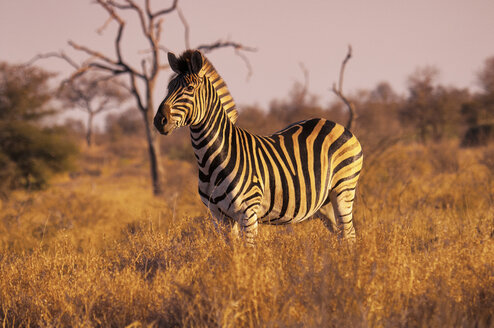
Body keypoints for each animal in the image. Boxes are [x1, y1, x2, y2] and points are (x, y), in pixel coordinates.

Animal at [154, 49, 362, 243]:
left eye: (189, 88)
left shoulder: (248, 213)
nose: (158, 120)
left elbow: (249, 252)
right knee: (341, 234)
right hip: (325, 203)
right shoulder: (219, 216)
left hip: (343, 190)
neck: (211, 159)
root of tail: (336, 124)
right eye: (169, 87)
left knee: (349, 234)